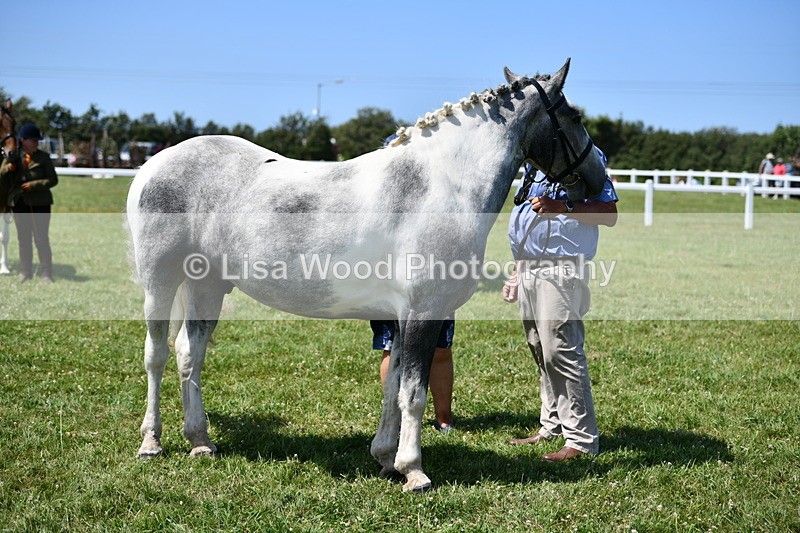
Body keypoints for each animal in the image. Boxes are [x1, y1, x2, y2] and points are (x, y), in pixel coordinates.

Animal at [126, 59, 607, 492]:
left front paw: (386, 460)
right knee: (157, 355)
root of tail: (154, 164)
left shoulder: (401, 316)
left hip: (207, 284)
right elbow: (413, 392)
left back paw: (200, 441)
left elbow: (393, 387)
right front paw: (414, 471)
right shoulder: (424, 313)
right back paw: (151, 443)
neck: (441, 185)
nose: (596, 181)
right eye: (575, 117)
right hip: (160, 281)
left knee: (189, 354)